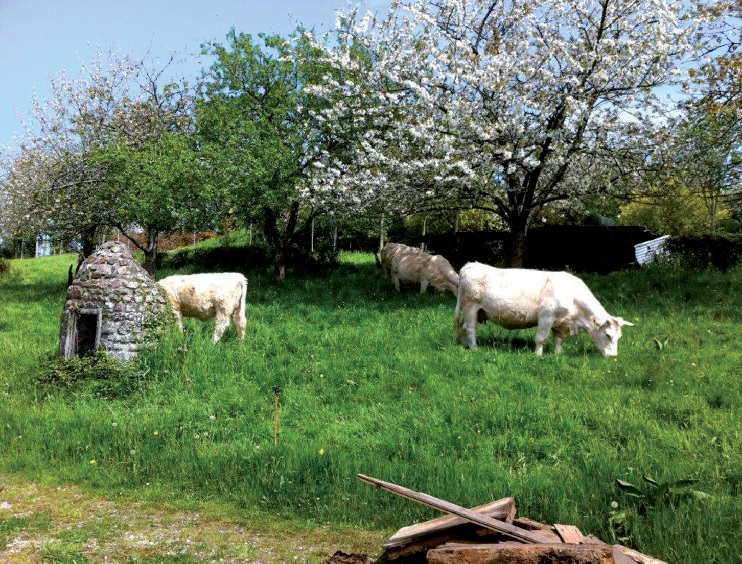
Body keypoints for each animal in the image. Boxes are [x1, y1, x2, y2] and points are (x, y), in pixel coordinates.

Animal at [456, 262, 636, 356]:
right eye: (607, 335)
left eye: (619, 337)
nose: (613, 357)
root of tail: (471, 265)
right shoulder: (546, 316)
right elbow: (541, 338)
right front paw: (538, 355)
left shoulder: (560, 323)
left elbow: (558, 339)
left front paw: (558, 354)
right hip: (471, 306)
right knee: (470, 328)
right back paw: (474, 348)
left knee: (464, 328)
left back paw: (465, 346)